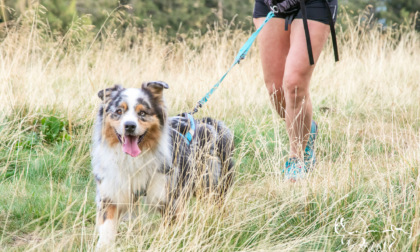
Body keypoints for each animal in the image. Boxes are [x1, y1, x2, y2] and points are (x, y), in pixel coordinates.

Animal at [91, 81, 235, 248]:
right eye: (119, 111)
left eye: (142, 113)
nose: (129, 126)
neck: (134, 159)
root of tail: (208, 121)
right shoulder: (110, 194)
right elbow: (107, 230)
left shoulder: (170, 199)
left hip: (212, 184)